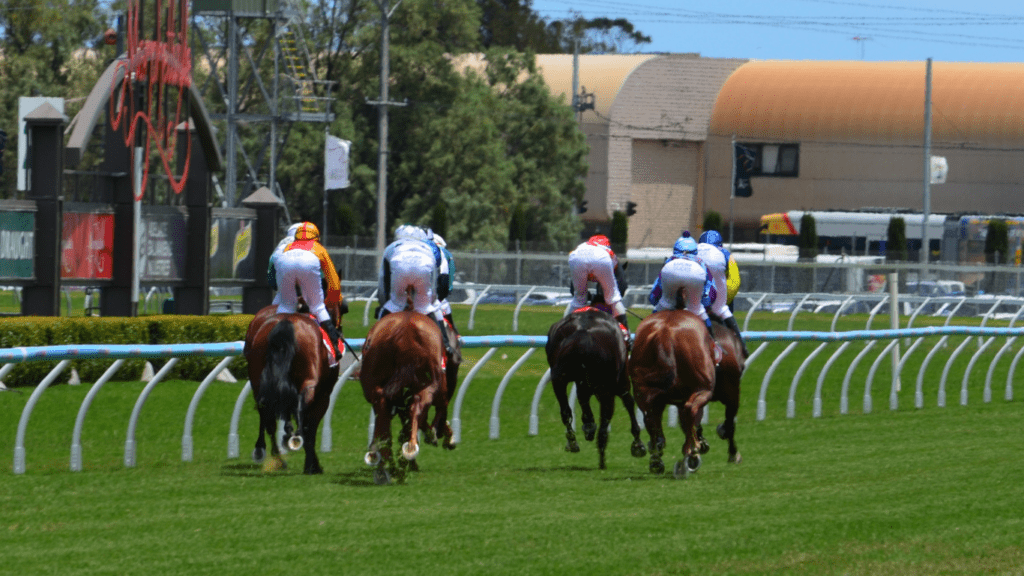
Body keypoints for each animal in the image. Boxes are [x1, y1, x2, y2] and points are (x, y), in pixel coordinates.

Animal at [242, 303, 339, 473]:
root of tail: (286, 323)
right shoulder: (324, 395)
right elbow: (310, 426)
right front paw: (313, 465)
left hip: (257, 377)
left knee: (267, 412)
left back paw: (273, 452)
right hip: (310, 378)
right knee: (300, 407)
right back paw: (292, 440)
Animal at [360, 309, 456, 483]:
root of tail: (404, 332)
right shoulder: (439, 391)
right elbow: (433, 414)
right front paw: (439, 435)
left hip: (375, 390)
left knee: (384, 418)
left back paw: (383, 467)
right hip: (428, 386)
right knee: (417, 408)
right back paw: (409, 450)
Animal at [548, 309, 643, 467]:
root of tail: (582, 333)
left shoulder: (581, 382)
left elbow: (582, 402)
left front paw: (588, 425)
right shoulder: (619, 382)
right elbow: (628, 402)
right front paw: (638, 444)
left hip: (559, 379)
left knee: (565, 411)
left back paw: (573, 441)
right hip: (608, 386)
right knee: (606, 418)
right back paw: (602, 454)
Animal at [626, 309, 716, 475]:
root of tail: (665, 332)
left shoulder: (659, 399)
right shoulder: (695, 394)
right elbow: (689, 419)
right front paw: (691, 450)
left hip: (641, 392)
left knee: (649, 419)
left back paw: (656, 459)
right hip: (703, 390)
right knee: (690, 410)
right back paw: (693, 452)